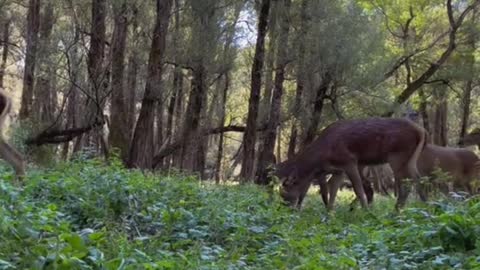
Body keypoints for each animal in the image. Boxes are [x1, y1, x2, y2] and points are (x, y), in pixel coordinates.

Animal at [276, 118, 426, 211]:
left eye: (285, 195)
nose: (286, 210)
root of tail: (421, 131)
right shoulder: (338, 170)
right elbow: (333, 190)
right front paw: (329, 213)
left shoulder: (349, 161)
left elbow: (358, 190)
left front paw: (366, 211)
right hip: (410, 158)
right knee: (417, 177)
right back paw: (424, 205)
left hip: (398, 155)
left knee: (406, 182)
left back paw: (396, 210)